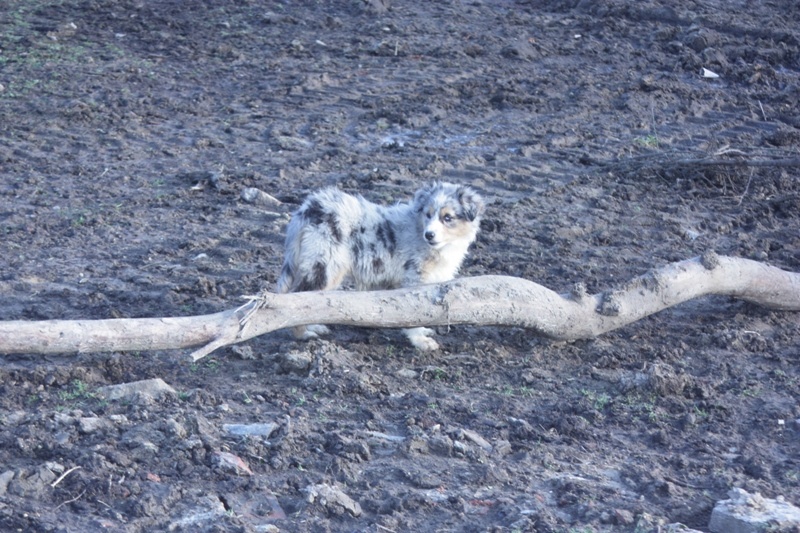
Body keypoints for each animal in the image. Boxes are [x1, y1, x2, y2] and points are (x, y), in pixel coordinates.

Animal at [278, 181, 484, 352]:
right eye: (428, 214)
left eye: (447, 217)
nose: (429, 235)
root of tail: (309, 207)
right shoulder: (414, 279)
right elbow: (416, 314)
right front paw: (419, 341)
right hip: (326, 265)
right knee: (299, 296)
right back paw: (303, 334)